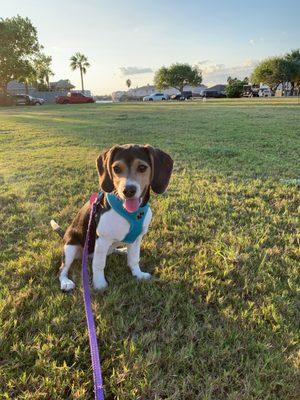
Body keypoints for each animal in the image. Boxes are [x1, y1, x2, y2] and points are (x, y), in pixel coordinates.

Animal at [51, 144, 173, 290]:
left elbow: (134, 259)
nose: (128, 190)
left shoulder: (137, 239)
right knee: (62, 269)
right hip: (70, 247)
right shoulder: (102, 240)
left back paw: (123, 250)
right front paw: (100, 285)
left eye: (142, 167)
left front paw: (138, 275)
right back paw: (65, 282)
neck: (131, 213)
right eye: (116, 169)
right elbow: (98, 265)